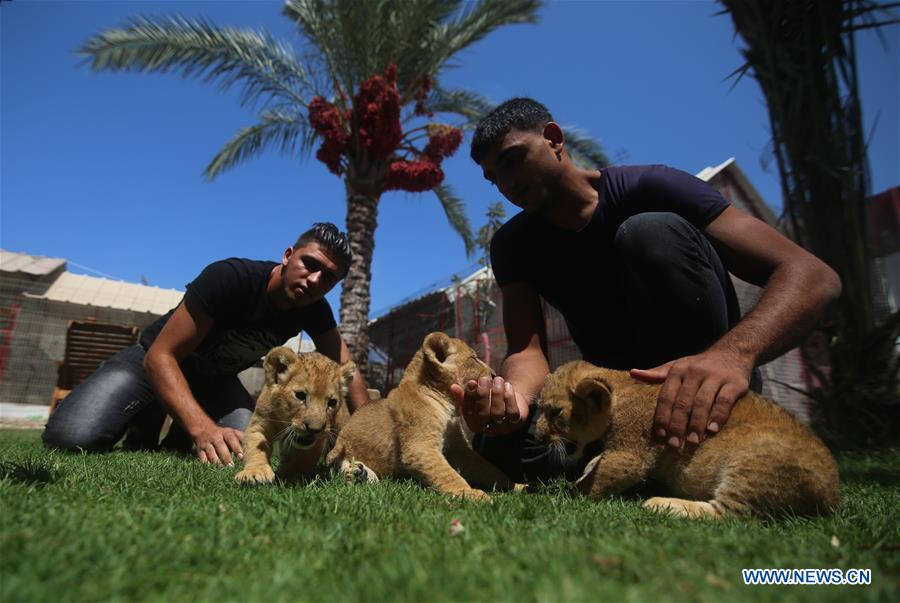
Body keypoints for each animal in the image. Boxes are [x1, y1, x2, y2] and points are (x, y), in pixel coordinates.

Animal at [235, 347, 355, 484]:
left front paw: (289, 478)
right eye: (300, 395)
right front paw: (255, 472)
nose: (314, 429)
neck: (285, 420)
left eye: (332, 402)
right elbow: (254, 446)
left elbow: (301, 461)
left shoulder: (316, 442)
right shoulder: (259, 423)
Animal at [326, 331, 518, 501]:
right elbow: (447, 474)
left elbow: (489, 470)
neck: (447, 403)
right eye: (474, 358)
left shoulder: (460, 449)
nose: (494, 374)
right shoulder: (419, 447)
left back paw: (362, 474)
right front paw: (473, 495)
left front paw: (518, 487)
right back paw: (356, 475)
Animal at [534, 361, 841, 519]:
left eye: (554, 412)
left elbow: (601, 479)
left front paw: (569, 494)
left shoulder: (632, 450)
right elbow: (598, 462)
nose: (537, 435)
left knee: (728, 514)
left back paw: (661, 504)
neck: (622, 387)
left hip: (754, 461)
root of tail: (831, 495)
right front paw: (586, 470)